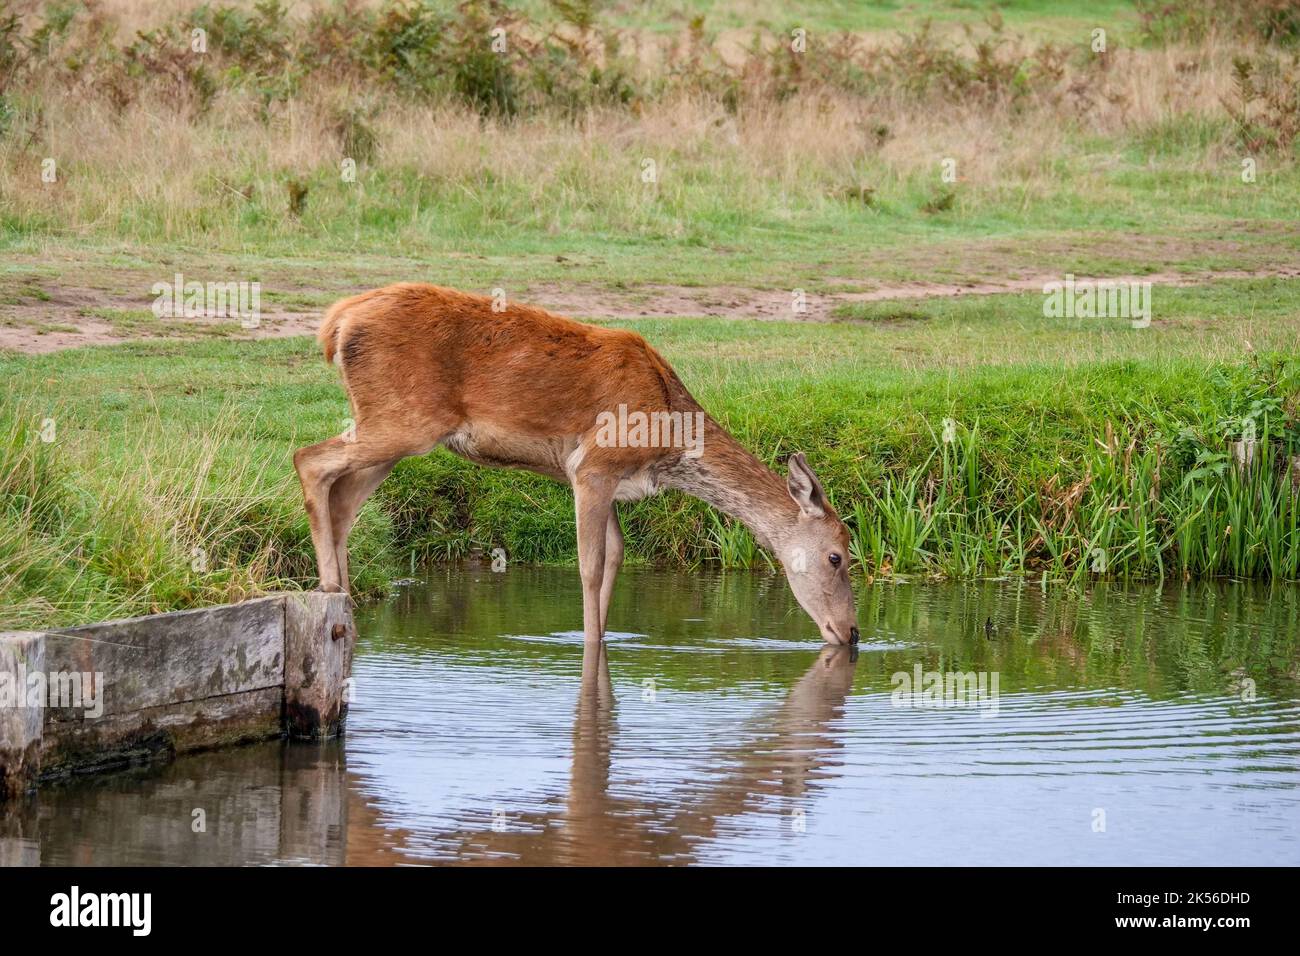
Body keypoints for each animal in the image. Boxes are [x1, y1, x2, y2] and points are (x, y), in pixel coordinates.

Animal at [293, 283, 860, 646]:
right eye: (837, 556)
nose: (852, 633)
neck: (668, 438)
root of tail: (335, 322)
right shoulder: (593, 465)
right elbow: (589, 565)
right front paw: (587, 645)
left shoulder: (606, 482)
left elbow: (616, 557)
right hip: (403, 420)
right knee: (310, 460)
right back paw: (330, 590)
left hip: (395, 431)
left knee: (343, 499)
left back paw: (347, 602)